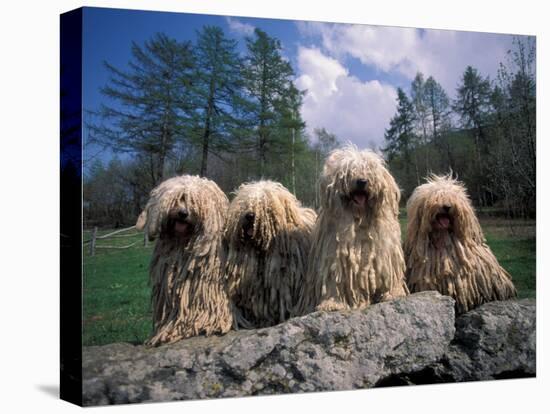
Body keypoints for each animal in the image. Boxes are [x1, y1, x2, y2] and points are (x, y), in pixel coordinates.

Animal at [298, 146, 410, 314]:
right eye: (348, 172)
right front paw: (332, 303)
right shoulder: (335, 254)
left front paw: (393, 293)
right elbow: (334, 279)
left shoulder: (385, 252)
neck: (360, 218)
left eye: (369, 169)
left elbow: (389, 274)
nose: (362, 181)